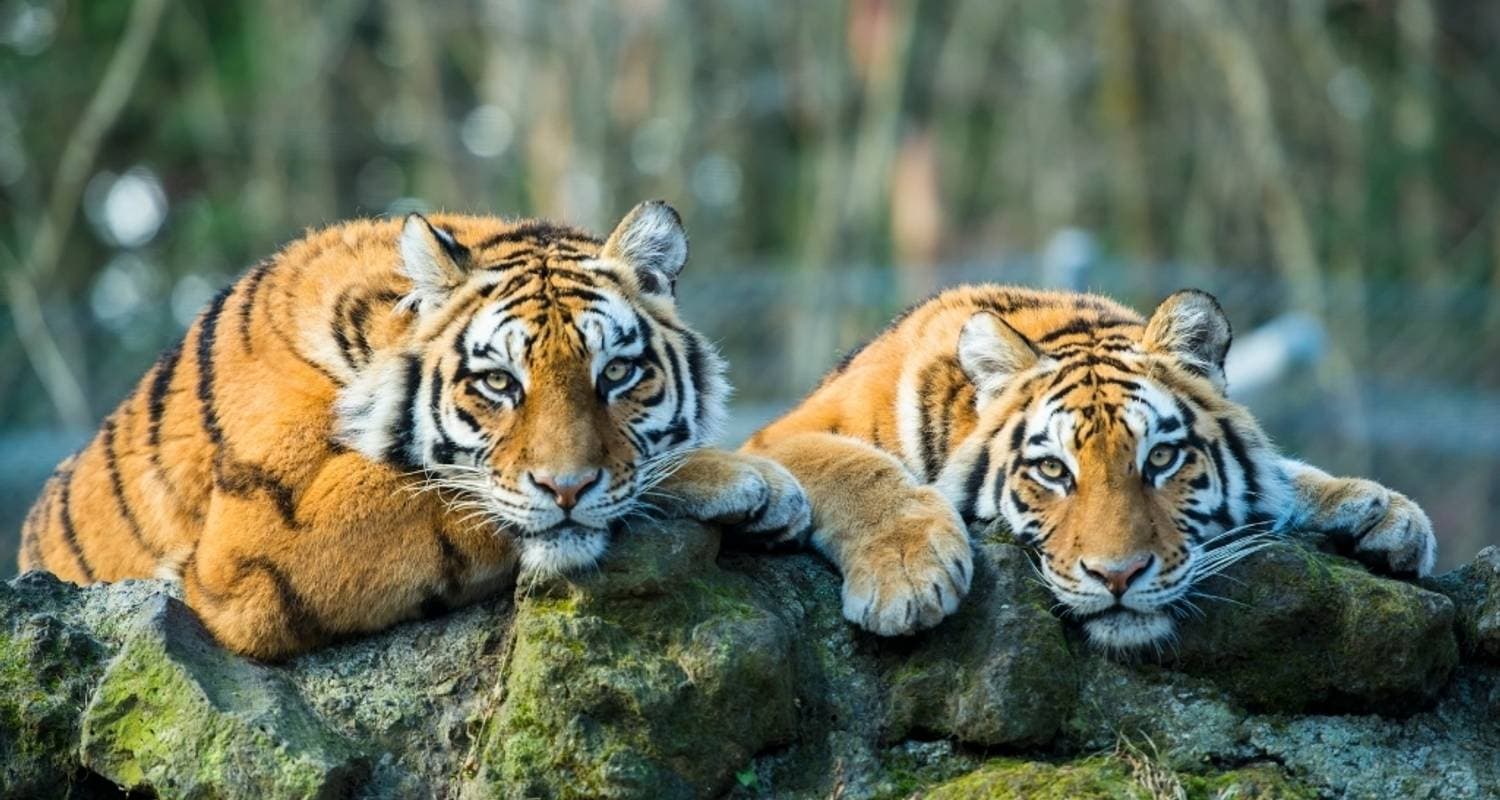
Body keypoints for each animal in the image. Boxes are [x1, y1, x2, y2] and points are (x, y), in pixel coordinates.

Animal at [16, 200, 810, 660]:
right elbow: (446, 494)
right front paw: (749, 478)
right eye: (499, 383)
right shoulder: (256, 544)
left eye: (616, 373)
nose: (567, 489)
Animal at [744, 285, 1436, 649]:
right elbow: (855, 467)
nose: (1118, 576)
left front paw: (1384, 511)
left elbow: (1285, 474)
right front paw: (907, 577)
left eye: (1161, 458)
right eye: (1053, 471)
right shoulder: (776, 438)